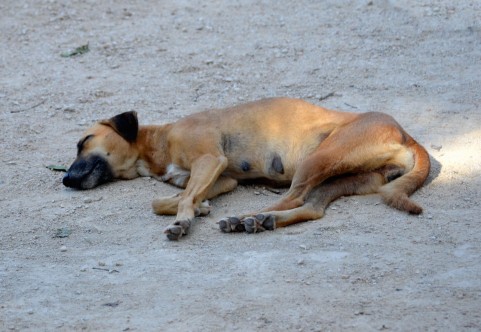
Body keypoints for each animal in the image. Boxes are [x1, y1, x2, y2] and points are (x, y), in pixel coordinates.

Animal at [62, 97, 428, 240]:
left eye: (84, 141)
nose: (65, 179)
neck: (158, 141)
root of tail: (406, 134)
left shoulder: (210, 161)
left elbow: (181, 199)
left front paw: (185, 219)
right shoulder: (223, 179)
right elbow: (168, 199)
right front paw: (200, 207)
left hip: (318, 158)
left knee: (292, 197)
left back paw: (244, 218)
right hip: (340, 178)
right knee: (311, 208)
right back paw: (262, 221)